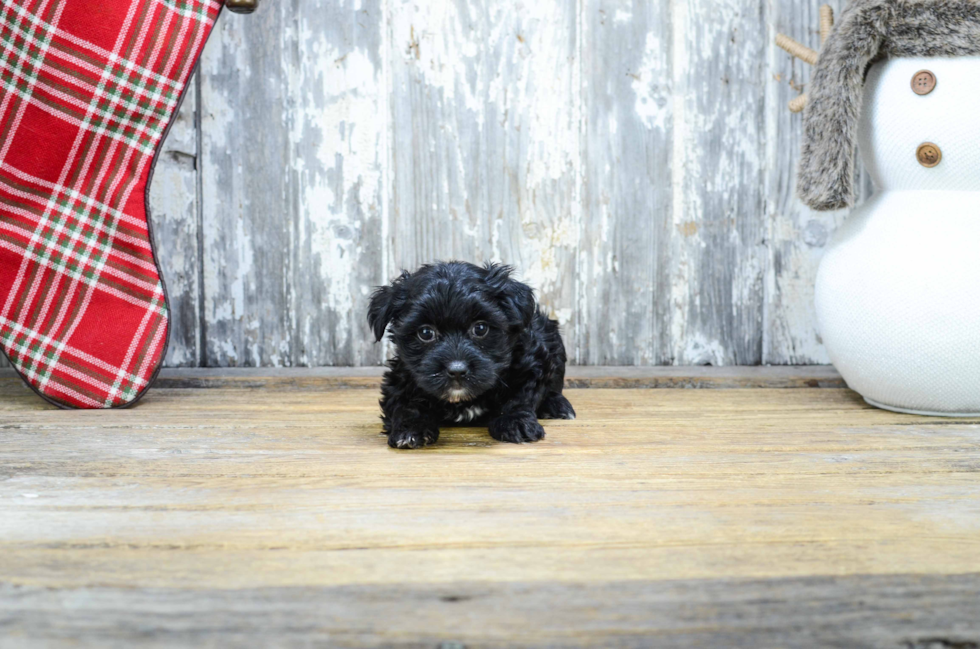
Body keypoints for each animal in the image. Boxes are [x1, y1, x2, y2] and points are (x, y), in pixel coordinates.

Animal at [372, 260, 580, 448]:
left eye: (480, 328)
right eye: (425, 332)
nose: (457, 370)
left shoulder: (533, 361)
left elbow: (519, 397)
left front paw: (515, 422)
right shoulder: (401, 377)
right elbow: (406, 404)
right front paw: (410, 430)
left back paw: (557, 405)